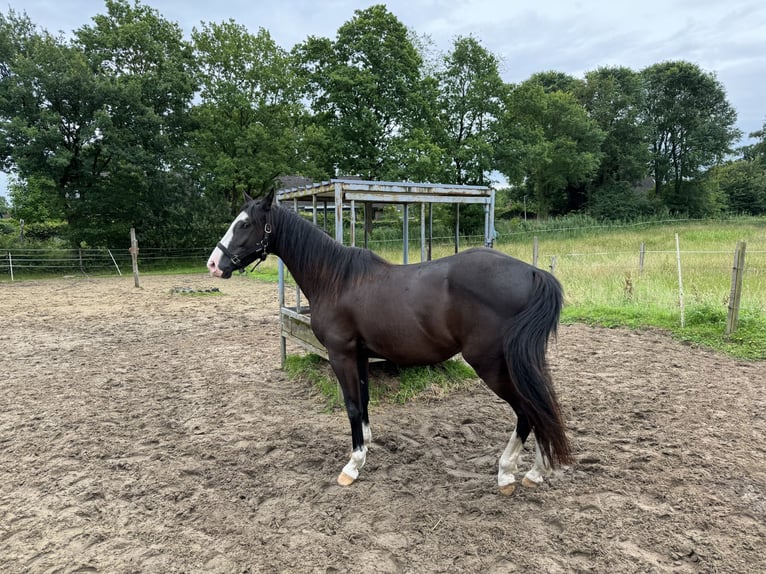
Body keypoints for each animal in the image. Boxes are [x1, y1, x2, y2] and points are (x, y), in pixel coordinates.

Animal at [207, 192, 572, 496]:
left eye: (244, 224)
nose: (213, 264)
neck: (336, 280)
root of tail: (533, 273)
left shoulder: (341, 355)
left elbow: (352, 405)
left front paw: (352, 465)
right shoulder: (360, 355)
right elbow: (364, 401)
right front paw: (366, 446)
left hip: (492, 366)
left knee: (527, 410)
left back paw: (507, 473)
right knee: (543, 407)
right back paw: (536, 472)